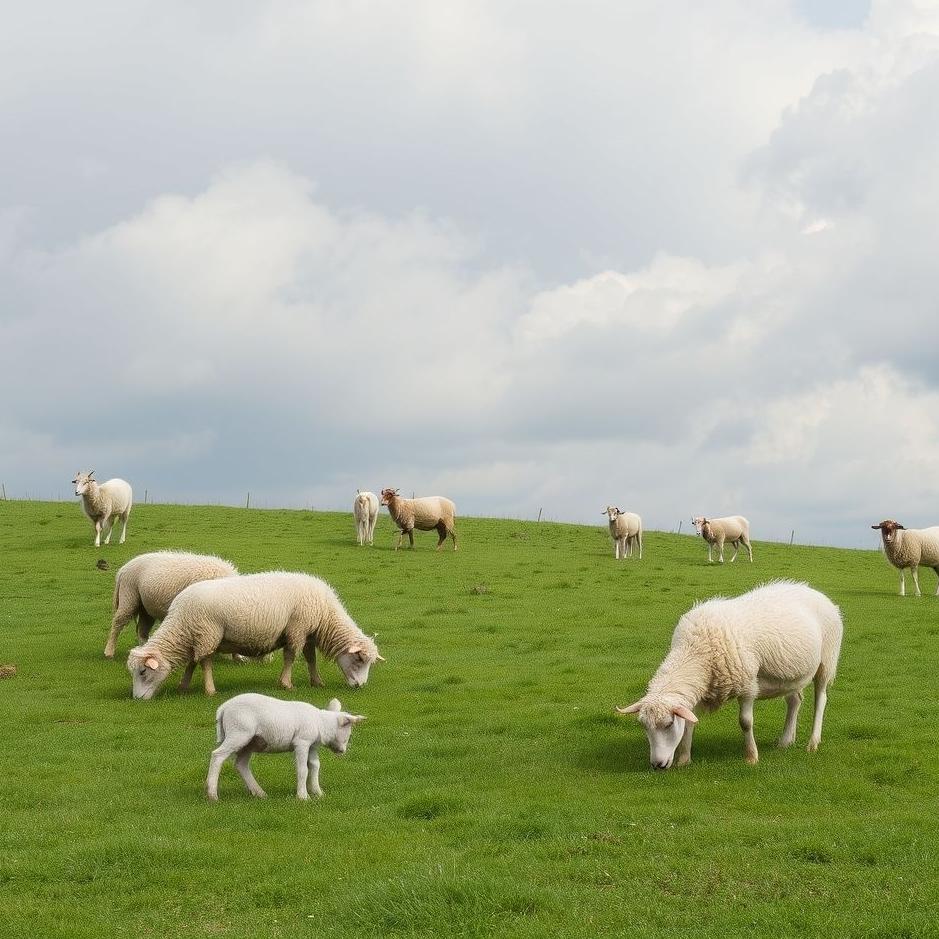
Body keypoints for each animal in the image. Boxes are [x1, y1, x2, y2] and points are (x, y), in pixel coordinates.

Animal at [104, 551, 238, 658]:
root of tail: (123, 569)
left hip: (146, 607)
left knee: (142, 630)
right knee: (118, 624)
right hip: (128, 596)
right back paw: (109, 651)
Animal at [126, 571, 384, 699]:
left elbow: (310, 658)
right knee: (205, 660)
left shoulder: (307, 632)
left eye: (142, 672)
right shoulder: (297, 628)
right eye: (359, 660)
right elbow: (290, 657)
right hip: (209, 632)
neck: (326, 615)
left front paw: (316, 681)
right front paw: (286, 684)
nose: (360, 686)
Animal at [206, 693, 365, 801]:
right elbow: (303, 769)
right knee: (217, 755)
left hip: (251, 741)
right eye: (349, 734)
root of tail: (223, 708)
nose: (342, 751)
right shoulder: (301, 742)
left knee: (241, 764)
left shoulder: (312, 746)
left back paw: (259, 793)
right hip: (239, 733)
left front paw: (318, 793)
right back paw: (212, 794)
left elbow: (315, 766)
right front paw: (303, 796)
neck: (320, 723)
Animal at [616, 580, 842, 769]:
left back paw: (812, 743)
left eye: (669, 724)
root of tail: (815, 591)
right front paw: (684, 759)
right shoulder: (698, 690)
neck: (697, 650)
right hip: (791, 674)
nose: (657, 765)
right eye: (644, 727)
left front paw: (751, 757)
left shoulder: (748, 685)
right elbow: (690, 722)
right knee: (795, 700)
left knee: (820, 699)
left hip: (826, 660)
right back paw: (786, 740)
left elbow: (745, 722)